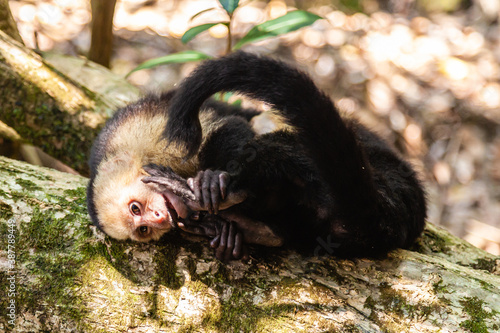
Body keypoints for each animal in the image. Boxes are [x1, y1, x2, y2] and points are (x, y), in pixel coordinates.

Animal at [86, 52, 426, 260]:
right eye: (142, 229)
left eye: (135, 208)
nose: (158, 219)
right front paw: (224, 231)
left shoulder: (143, 131)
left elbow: (230, 127)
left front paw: (211, 187)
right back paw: (255, 230)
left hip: (388, 181)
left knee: (271, 146)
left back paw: (223, 192)